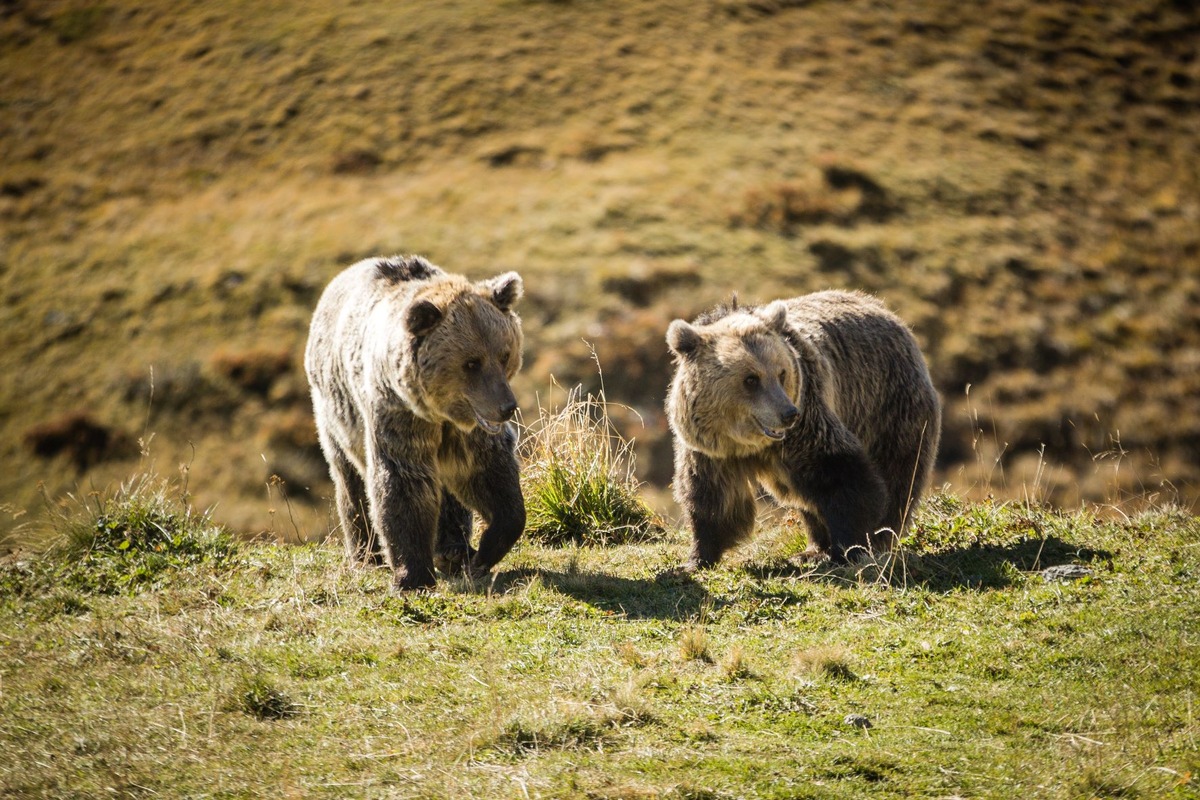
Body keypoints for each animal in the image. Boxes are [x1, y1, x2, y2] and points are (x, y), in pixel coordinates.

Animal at [304, 253, 525, 592]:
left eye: (504, 354)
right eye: (471, 363)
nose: (506, 407)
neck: (441, 414)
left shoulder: (468, 433)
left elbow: (489, 473)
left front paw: (483, 553)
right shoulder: (398, 413)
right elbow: (402, 480)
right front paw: (412, 576)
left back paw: (453, 549)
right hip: (334, 412)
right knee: (348, 478)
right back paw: (366, 555)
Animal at [667, 291, 936, 566]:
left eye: (781, 373)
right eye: (751, 379)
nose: (788, 414)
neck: (748, 444)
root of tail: (889, 313)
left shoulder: (807, 424)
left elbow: (841, 475)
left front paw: (848, 549)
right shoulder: (711, 450)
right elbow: (711, 497)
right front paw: (697, 558)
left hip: (886, 406)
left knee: (897, 475)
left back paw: (878, 536)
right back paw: (813, 549)